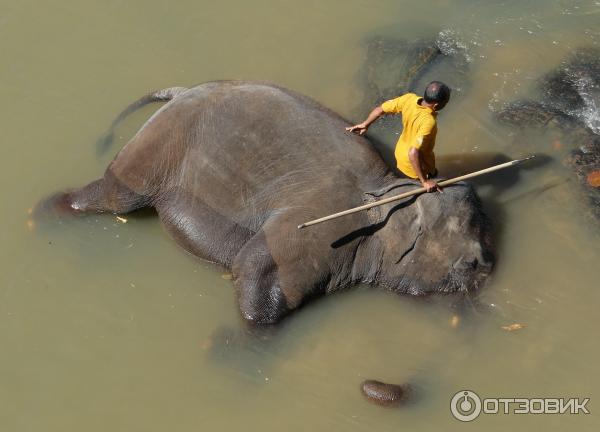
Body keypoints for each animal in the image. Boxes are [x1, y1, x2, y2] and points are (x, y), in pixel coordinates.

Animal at [39, 80, 494, 324]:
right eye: (472, 261)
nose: (487, 270)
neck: (388, 193)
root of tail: (182, 91)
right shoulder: (325, 224)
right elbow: (257, 264)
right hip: (158, 144)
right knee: (117, 197)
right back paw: (43, 214)